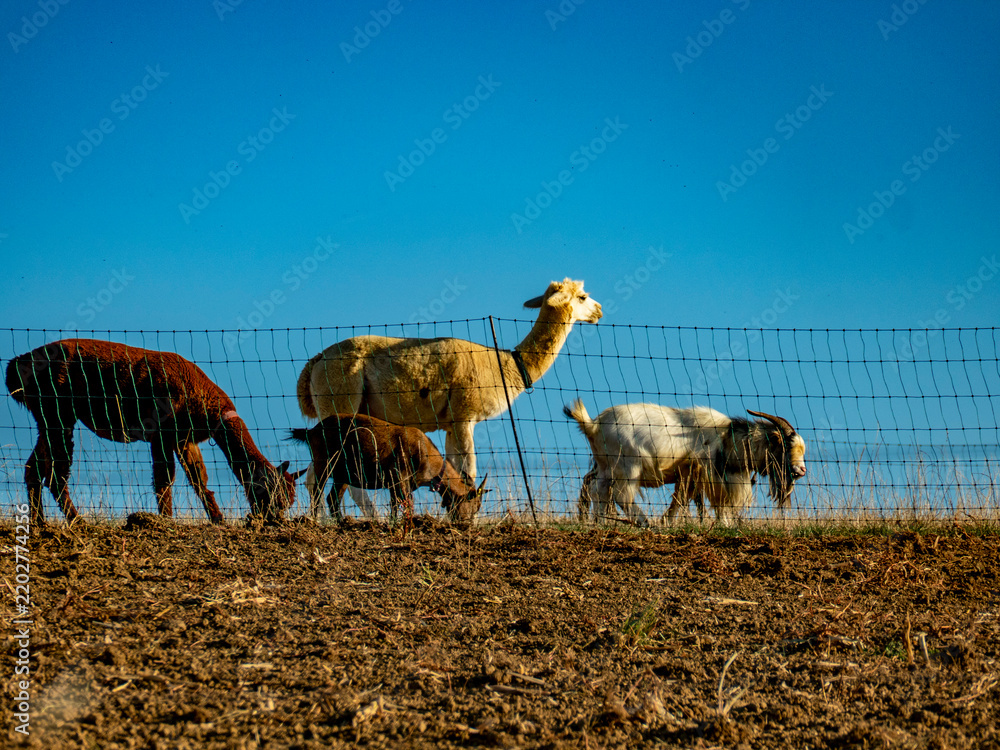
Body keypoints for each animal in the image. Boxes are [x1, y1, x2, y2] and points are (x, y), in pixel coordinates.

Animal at [6, 338, 297, 526]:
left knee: (33, 468)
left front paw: (217, 519)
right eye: (274, 495)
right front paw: (165, 521)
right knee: (55, 474)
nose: (275, 520)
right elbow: (164, 477)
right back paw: (77, 521)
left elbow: (198, 479)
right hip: (58, 411)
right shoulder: (163, 430)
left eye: (287, 500)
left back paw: (40, 523)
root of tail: (18, 364)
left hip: (47, 415)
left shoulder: (183, 438)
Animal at [287, 413, 488, 523]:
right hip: (324, 462)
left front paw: (392, 523)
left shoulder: (396, 484)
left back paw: (340, 521)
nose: (467, 524)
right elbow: (406, 504)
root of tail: (311, 431)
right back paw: (315, 520)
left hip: (343, 475)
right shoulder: (400, 478)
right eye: (476, 505)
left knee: (332, 498)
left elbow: (394, 506)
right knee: (317, 491)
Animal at [296, 278, 602, 516]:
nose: (599, 310)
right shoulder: (465, 415)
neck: (506, 366)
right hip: (340, 398)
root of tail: (316, 361)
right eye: (583, 296)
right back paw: (368, 518)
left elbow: (454, 468)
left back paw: (319, 520)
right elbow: (470, 470)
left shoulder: (450, 424)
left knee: (315, 475)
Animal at [565, 400, 806, 526]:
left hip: (607, 468)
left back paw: (601, 522)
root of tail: (593, 425)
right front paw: (723, 525)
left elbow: (683, 501)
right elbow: (710, 503)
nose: (801, 470)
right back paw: (644, 522)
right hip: (628, 467)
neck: (727, 438)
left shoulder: (689, 476)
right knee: (621, 495)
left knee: (598, 491)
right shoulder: (706, 475)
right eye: (787, 446)